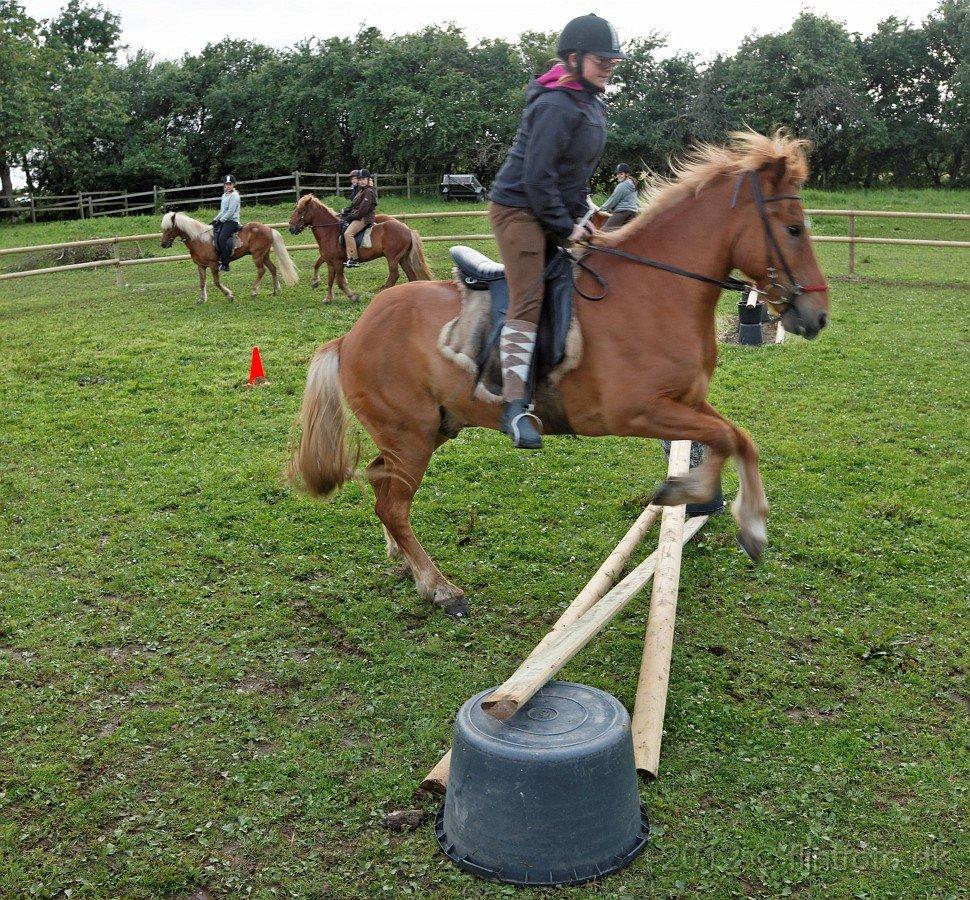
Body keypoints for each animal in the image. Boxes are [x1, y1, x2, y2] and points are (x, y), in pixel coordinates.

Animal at [161, 213, 296, 304]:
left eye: (169, 228)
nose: (163, 244)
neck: (199, 240)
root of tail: (269, 228)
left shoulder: (213, 264)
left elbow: (216, 282)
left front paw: (229, 295)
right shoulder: (201, 265)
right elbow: (202, 282)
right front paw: (201, 299)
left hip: (257, 255)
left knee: (261, 271)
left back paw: (254, 291)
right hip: (264, 254)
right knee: (273, 268)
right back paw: (276, 290)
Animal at [286, 193, 432, 302]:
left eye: (299, 211)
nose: (291, 227)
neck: (330, 231)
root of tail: (408, 230)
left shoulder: (337, 262)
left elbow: (339, 281)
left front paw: (353, 296)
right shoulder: (330, 262)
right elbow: (328, 278)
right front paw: (326, 295)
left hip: (392, 257)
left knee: (394, 275)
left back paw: (383, 291)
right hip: (402, 258)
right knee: (411, 275)